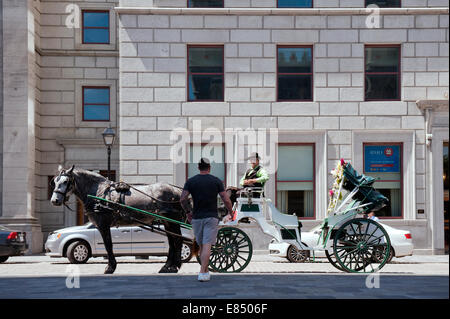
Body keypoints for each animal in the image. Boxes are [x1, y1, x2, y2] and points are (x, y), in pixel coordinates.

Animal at [49, 165, 190, 276]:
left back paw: (174, 266)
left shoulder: (103, 224)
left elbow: (108, 245)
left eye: (66, 181)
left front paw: (110, 267)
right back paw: (167, 266)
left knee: (178, 240)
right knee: (172, 241)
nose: (54, 200)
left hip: (172, 219)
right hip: (167, 221)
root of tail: (177, 190)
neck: (99, 192)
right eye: (55, 181)